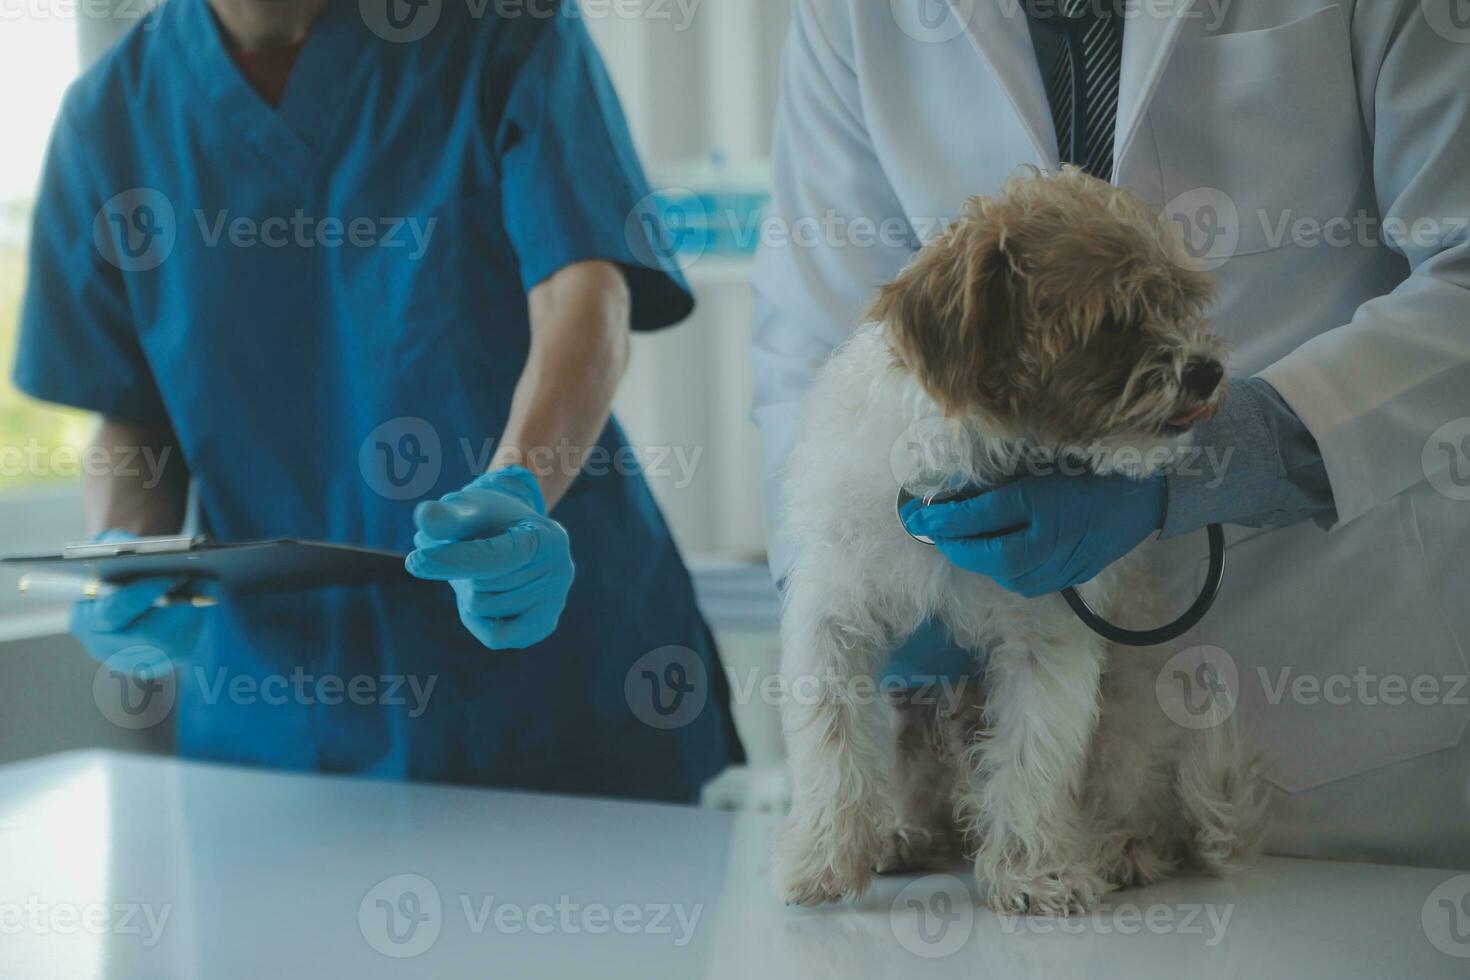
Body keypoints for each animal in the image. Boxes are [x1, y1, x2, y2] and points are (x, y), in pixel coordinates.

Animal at [770, 166, 1264, 910]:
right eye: (1114, 318)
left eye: (1179, 303)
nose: (1206, 369)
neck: (972, 470)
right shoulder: (834, 621)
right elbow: (832, 748)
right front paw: (824, 859)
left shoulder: (1047, 637)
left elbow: (1032, 758)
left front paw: (1035, 874)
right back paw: (902, 835)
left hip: (1130, 710)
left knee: (1134, 797)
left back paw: (1119, 848)